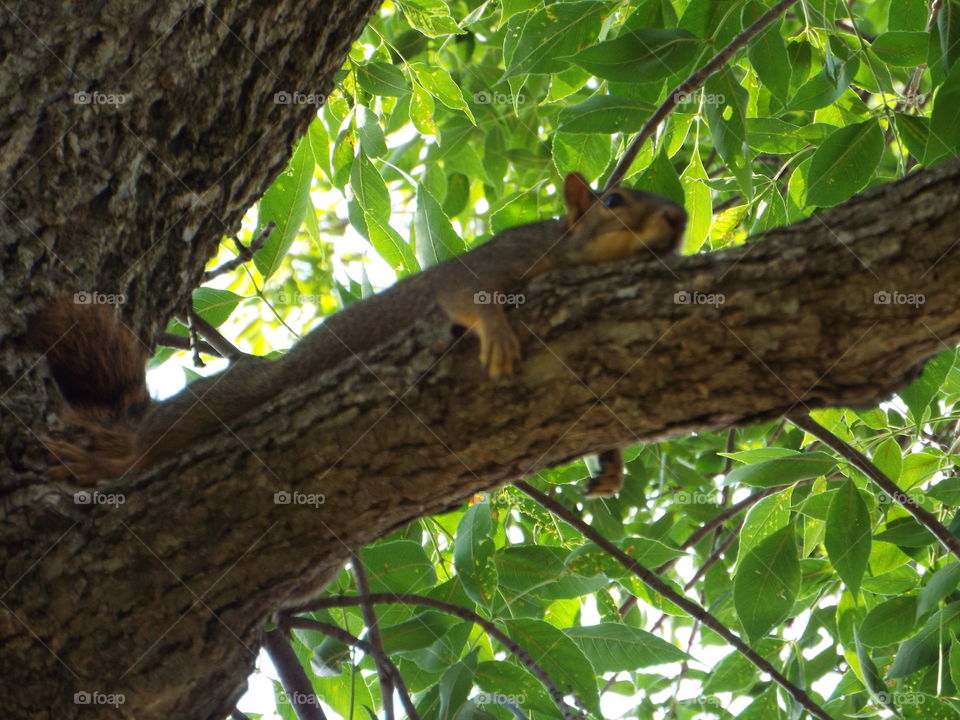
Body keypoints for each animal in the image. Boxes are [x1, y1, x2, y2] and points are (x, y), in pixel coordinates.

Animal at [29, 172, 686, 495]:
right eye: (613, 200)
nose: (680, 218)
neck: (567, 253)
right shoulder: (495, 260)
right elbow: (465, 294)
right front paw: (497, 334)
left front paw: (611, 465)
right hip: (243, 392)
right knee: (162, 434)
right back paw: (114, 459)